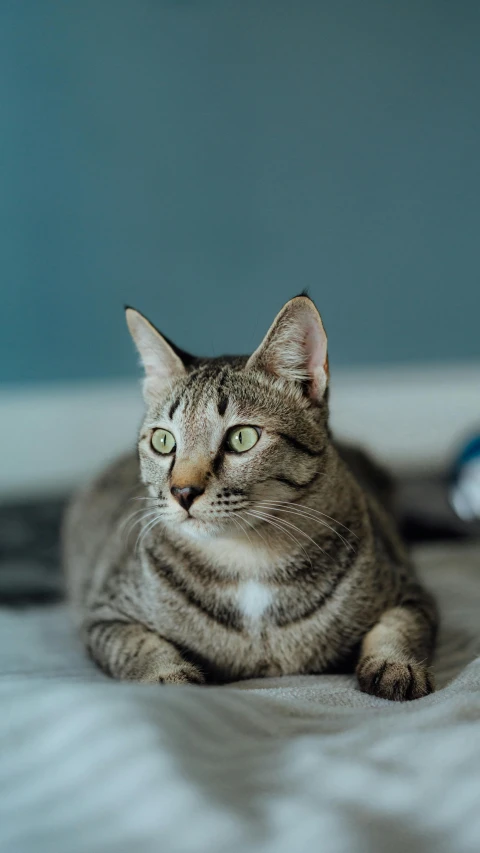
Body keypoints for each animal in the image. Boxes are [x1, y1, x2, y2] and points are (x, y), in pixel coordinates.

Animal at [63, 294, 438, 700]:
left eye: (242, 437)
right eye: (163, 441)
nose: (182, 491)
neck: (249, 560)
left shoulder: (412, 592)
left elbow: (400, 627)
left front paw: (395, 665)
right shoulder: (105, 616)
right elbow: (139, 647)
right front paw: (169, 677)